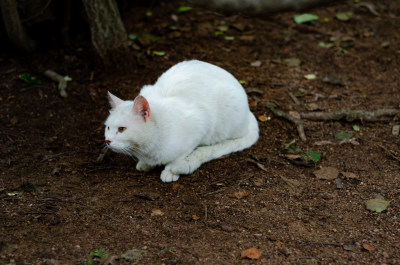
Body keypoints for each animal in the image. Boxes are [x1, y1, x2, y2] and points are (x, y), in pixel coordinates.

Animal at [104, 59, 258, 182]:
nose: (107, 141)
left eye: (122, 129)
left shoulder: (201, 124)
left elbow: (182, 154)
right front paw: (146, 164)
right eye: (108, 128)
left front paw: (170, 170)